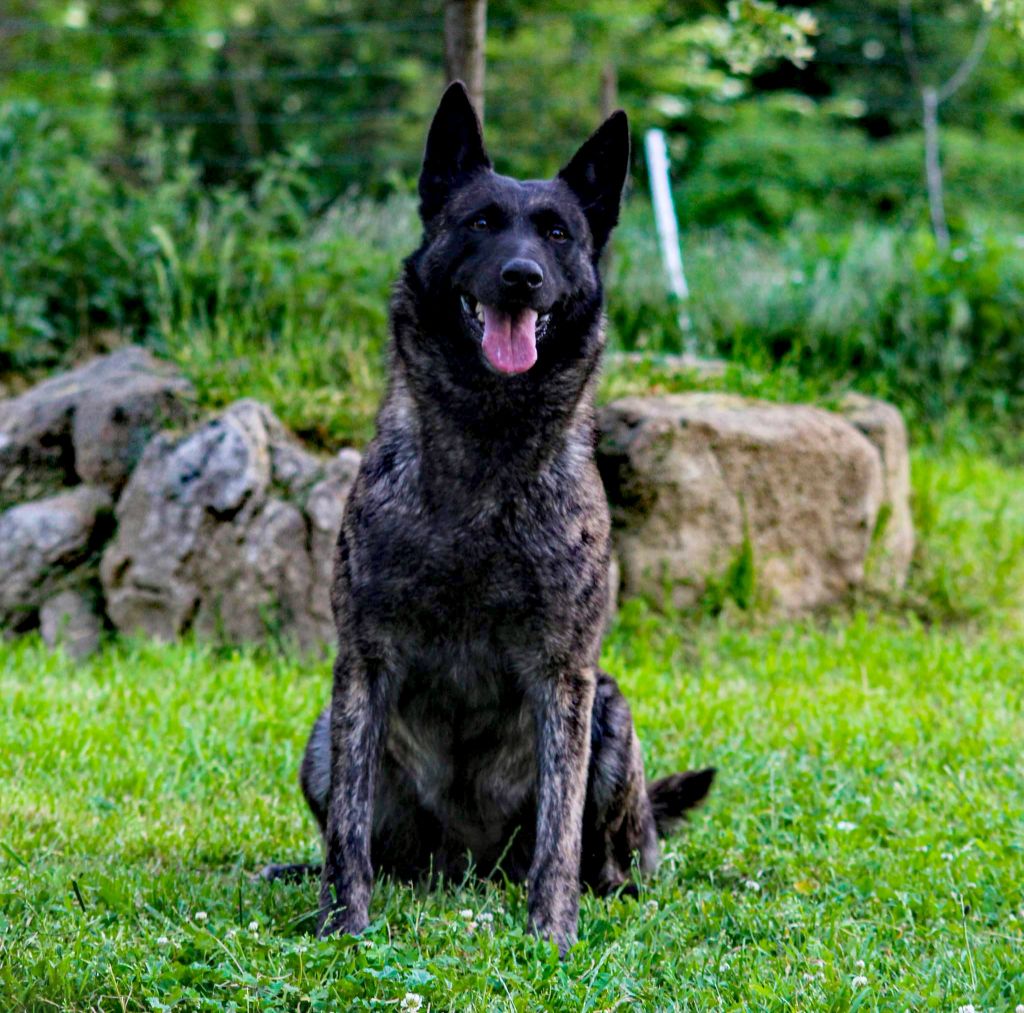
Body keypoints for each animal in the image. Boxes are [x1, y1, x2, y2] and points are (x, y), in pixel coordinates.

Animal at [264, 80, 712, 954]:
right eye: (479, 222)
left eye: (558, 232)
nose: (521, 276)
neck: (486, 444)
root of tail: (464, 868)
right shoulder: (363, 662)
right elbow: (347, 830)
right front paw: (343, 923)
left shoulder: (566, 676)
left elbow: (558, 832)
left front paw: (552, 934)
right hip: (322, 736)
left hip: (611, 713)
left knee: (612, 850)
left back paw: (609, 888)